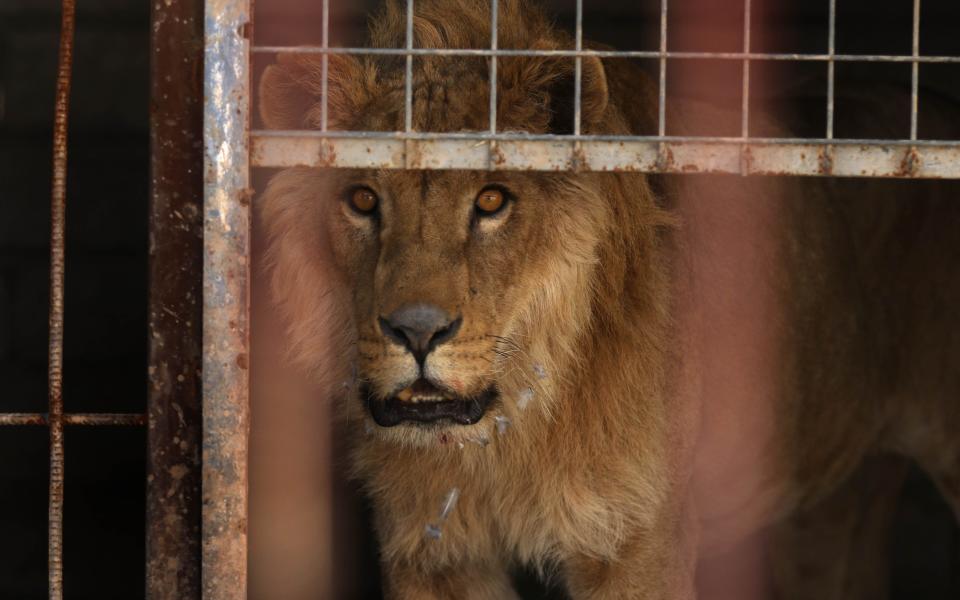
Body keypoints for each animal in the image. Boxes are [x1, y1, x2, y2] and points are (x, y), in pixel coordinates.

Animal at [256, 2, 960, 596]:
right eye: (362, 200)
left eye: (491, 200)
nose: (418, 332)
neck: (506, 437)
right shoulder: (431, 553)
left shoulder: (638, 543)